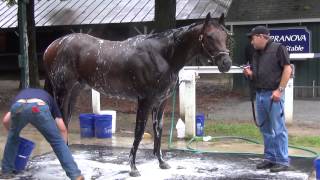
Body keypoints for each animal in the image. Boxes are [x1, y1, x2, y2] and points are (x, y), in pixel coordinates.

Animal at [43, 13, 231, 176]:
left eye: (226, 36)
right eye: (209, 36)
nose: (226, 63)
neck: (163, 56)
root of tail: (52, 46)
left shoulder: (161, 102)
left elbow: (158, 130)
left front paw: (162, 162)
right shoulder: (145, 101)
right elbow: (139, 132)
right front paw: (133, 168)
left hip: (73, 93)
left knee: (65, 122)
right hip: (62, 93)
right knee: (60, 123)